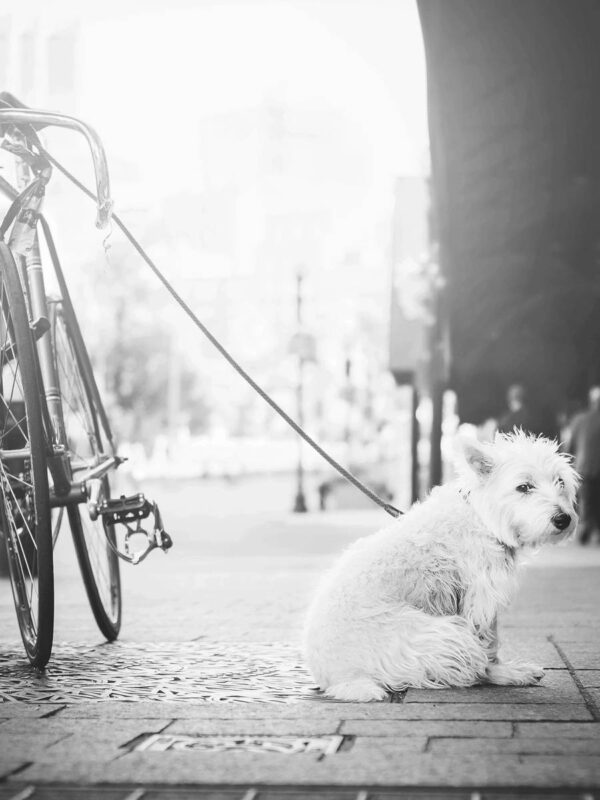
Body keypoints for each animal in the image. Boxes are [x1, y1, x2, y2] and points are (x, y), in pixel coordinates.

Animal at [304, 432, 576, 700]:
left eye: (560, 482)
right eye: (523, 487)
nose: (563, 519)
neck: (481, 518)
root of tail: (340, 679)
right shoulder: (480, 599)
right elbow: (488, 643)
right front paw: (503, 670)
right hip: (446, 636)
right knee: (470, 668)